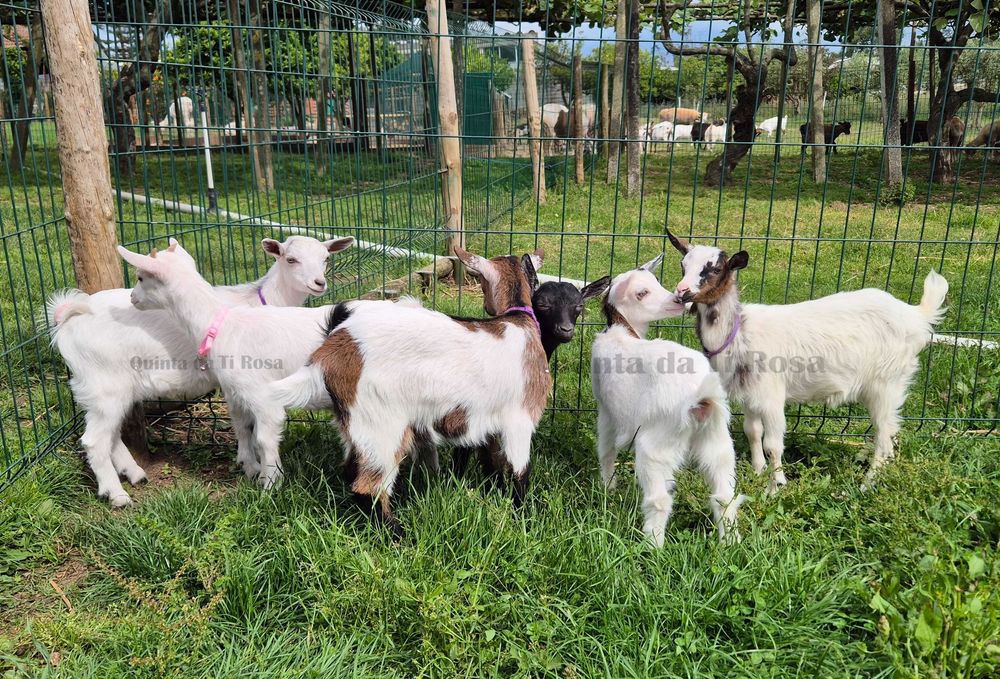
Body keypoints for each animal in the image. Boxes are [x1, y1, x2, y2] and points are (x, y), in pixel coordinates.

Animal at [47, 235, 352, 506]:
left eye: (326, 258)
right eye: (291, 259)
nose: (319, 283)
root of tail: (67, 317)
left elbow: (242, 422)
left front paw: (248, 464)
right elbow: (246, 424)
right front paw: (255, 468)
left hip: (104, 389)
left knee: (110, 435)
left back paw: (133, 473)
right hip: (105, 383)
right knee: (95, 440)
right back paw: (117, 494)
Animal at [268, 248, 551, 534]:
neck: (519, 320)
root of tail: (329, 352)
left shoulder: (487, 422)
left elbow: (491, 463)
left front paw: (494, 492)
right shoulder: (520, 419)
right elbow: (519, 472)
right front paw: (524, 518)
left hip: (352, 423)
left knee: (350, 469)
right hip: (381, 423)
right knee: (368, 487)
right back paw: (399, 534)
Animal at [591, 255, 743, 546]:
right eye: (642, 292)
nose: (678, 299)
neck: (622, 330)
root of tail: (701, 396)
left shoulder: (607, 410)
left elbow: (605, 448)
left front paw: (607, 486)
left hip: (656, 444)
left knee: (659, 499)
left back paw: (651, 546)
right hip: (717, 440)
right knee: (724, 497)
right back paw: (729, 543)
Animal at [666, 229, 949, 493]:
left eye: (714, 269)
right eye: (683, 264)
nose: (681, 292)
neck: (739, 331)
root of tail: (917, 316)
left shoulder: (771, 395)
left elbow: (772, 444)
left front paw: (776, 486)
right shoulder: (749, 394)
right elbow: (752, 432)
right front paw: (758, 472)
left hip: (887, 382)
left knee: (884, 437)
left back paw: (866, 485)